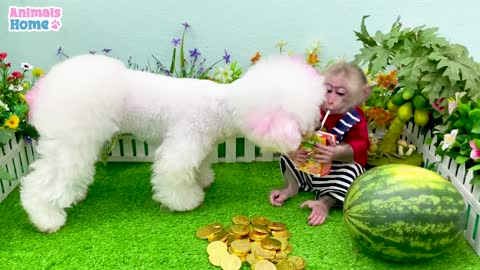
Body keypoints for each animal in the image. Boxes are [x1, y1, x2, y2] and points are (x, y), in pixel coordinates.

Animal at [19, 54, 326, 232]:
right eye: (299, 114)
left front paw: (202, 181)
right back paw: (46, 218)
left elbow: (199, 166)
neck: (223, 106)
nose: (313, 128)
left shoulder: (201, 143)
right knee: (43, 182)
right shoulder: (183, 142)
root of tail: (49, 87)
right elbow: (174, 173)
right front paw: (186, 201)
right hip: (72, 141)